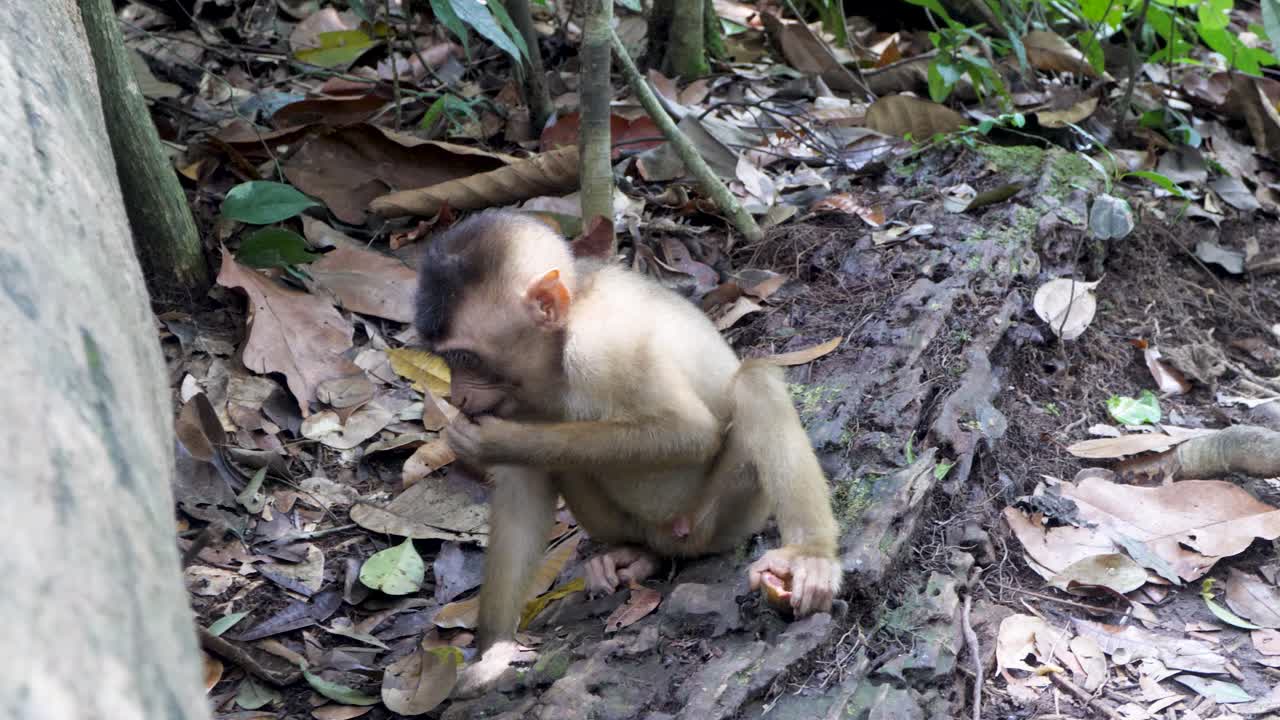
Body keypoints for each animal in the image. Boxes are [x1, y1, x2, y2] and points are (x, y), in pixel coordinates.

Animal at [413, 210, 842, 696]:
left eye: (467, 359)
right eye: (446, 361)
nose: (457, 397)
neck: (566, 329)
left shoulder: (605, 345)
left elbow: (690, 432)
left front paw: (496, 441)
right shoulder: (515, 395)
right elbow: (522, 493)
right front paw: (493, 654)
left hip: (720, 519)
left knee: (756, 382)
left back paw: (809, 556)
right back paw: (634, 557)